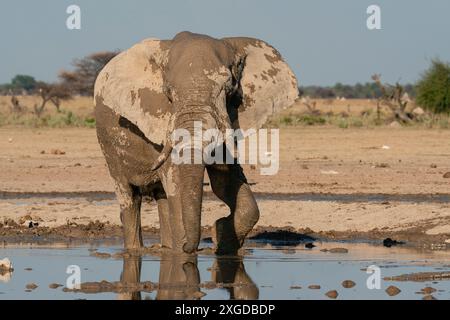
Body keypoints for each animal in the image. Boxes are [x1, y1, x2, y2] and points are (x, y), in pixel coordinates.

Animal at [95, 30, 298, 255]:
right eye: (168, 92)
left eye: (228, 88)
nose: (191, 248)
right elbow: (178, 187)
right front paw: (184, 251)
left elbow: (225, 181)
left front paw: (220, 237)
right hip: (108, 147)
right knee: (129, 197)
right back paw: (136, 250)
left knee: (162, 196)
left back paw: (165, 247)